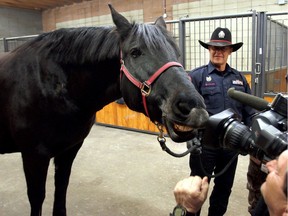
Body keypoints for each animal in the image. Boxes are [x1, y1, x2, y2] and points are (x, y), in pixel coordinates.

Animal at [0, 3, 207, 216]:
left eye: (177, 53)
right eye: (135, 52)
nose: (193, 107)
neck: (51, 83)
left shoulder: (69, 150)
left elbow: (61, 188)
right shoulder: (34, 156)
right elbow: (37, 198)